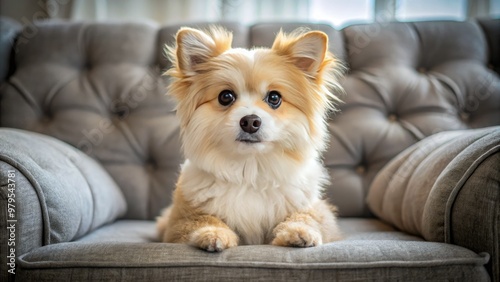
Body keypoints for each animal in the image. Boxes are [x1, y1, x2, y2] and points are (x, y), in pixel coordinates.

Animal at [158, 25, 346, 251]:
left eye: (274, 98)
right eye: (225, 96)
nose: (250, 121)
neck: (251, 171)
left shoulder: (318, 211)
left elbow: (307, 217)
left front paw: (299, 232)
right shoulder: (178, 220)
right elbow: (201, 220)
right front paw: (213, 233)